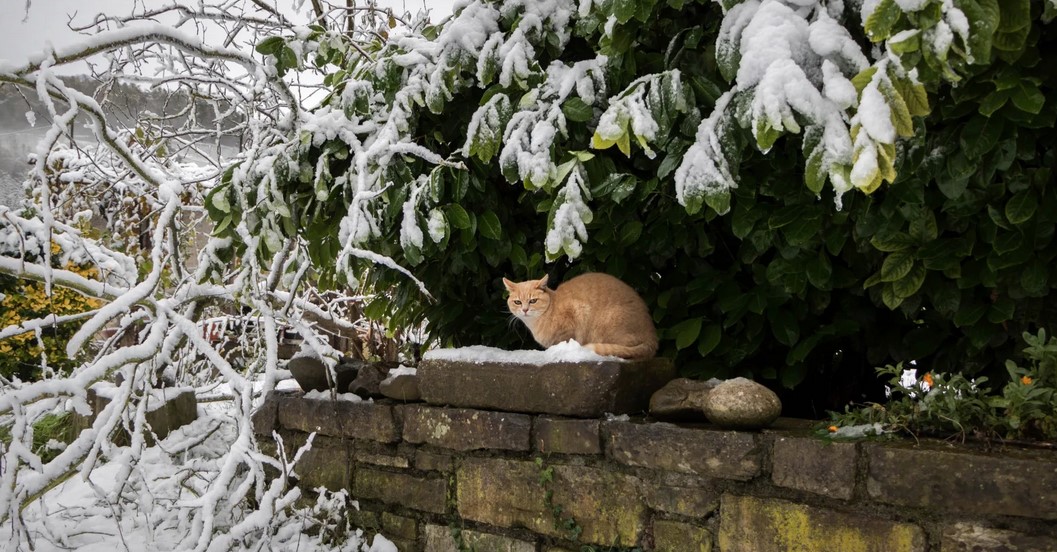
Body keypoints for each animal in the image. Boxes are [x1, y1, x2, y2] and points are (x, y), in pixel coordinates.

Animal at [501, 269, 655, 357]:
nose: (525, 310)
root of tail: (652, 335)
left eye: (533, 301)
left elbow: (564, 341)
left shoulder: (576, 313)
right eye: (517, 302)